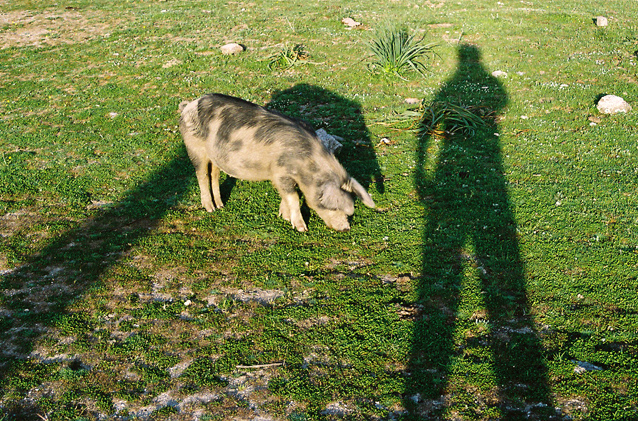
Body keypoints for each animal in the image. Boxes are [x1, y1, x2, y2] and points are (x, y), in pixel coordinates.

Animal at [178, 93, 378, 231]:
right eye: (335, 207)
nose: (346, 228)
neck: (306, 164)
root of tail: (188, 105)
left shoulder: (281, 177)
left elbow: (287, 195)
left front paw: (283, 216)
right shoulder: (280, 173)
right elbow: (294, 196)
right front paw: (301, 228)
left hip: (215, 156)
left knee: (214, 174)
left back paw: (220, 205)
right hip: (194, 148)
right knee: (201, 175)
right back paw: (210, 209)